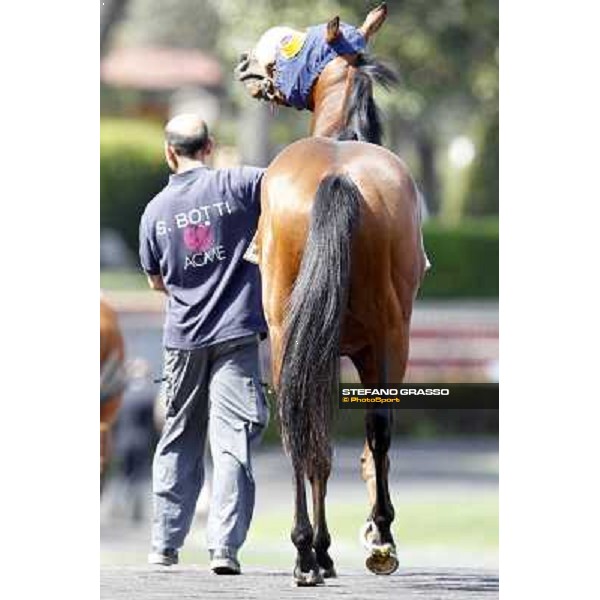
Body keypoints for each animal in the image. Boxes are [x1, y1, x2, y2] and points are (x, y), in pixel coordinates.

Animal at [234, 2, 426, 584]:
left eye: (295, 40)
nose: (246, 62)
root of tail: (336, 177)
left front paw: (323, 549)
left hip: (293, 335)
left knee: (303, 426)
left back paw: (306, 551)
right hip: (386, 337)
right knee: (371, 426)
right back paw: (370, 540)